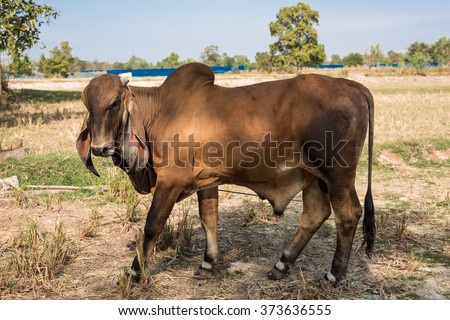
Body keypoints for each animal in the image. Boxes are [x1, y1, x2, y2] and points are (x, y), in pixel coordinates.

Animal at [77, 62, 376, 284]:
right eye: (87, 105)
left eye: (115, 103)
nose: (100, 148)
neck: (161, 111)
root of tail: (353, 85)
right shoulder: (207, 180)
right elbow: (209, 219)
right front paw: (208, 262)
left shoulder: (171, 180)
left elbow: (152, 225)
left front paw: (135, 271)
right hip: (314, 177)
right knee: (315, 215)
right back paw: (282, 264)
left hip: (338, 175)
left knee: (348, 215)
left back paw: (334, 275)